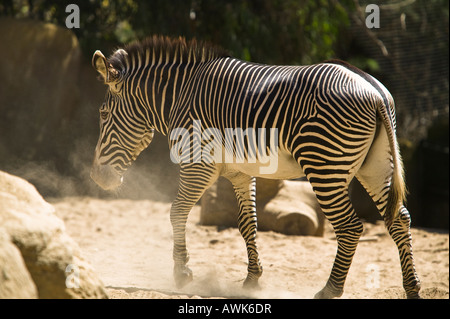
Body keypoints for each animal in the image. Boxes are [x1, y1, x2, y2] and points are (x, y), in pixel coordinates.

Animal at [89, 35, 420, 300]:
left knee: (350, 227)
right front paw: (252, 279)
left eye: (103, 114)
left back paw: (330, 290)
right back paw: (412, 288)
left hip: (324, 165)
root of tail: (375, 91)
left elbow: (178, 211)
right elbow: (248, 224)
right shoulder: (240, 172)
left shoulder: (198, 163)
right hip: (375, 166)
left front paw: (182, 273)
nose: (96, 177)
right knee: (399, 219)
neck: (179, 95)